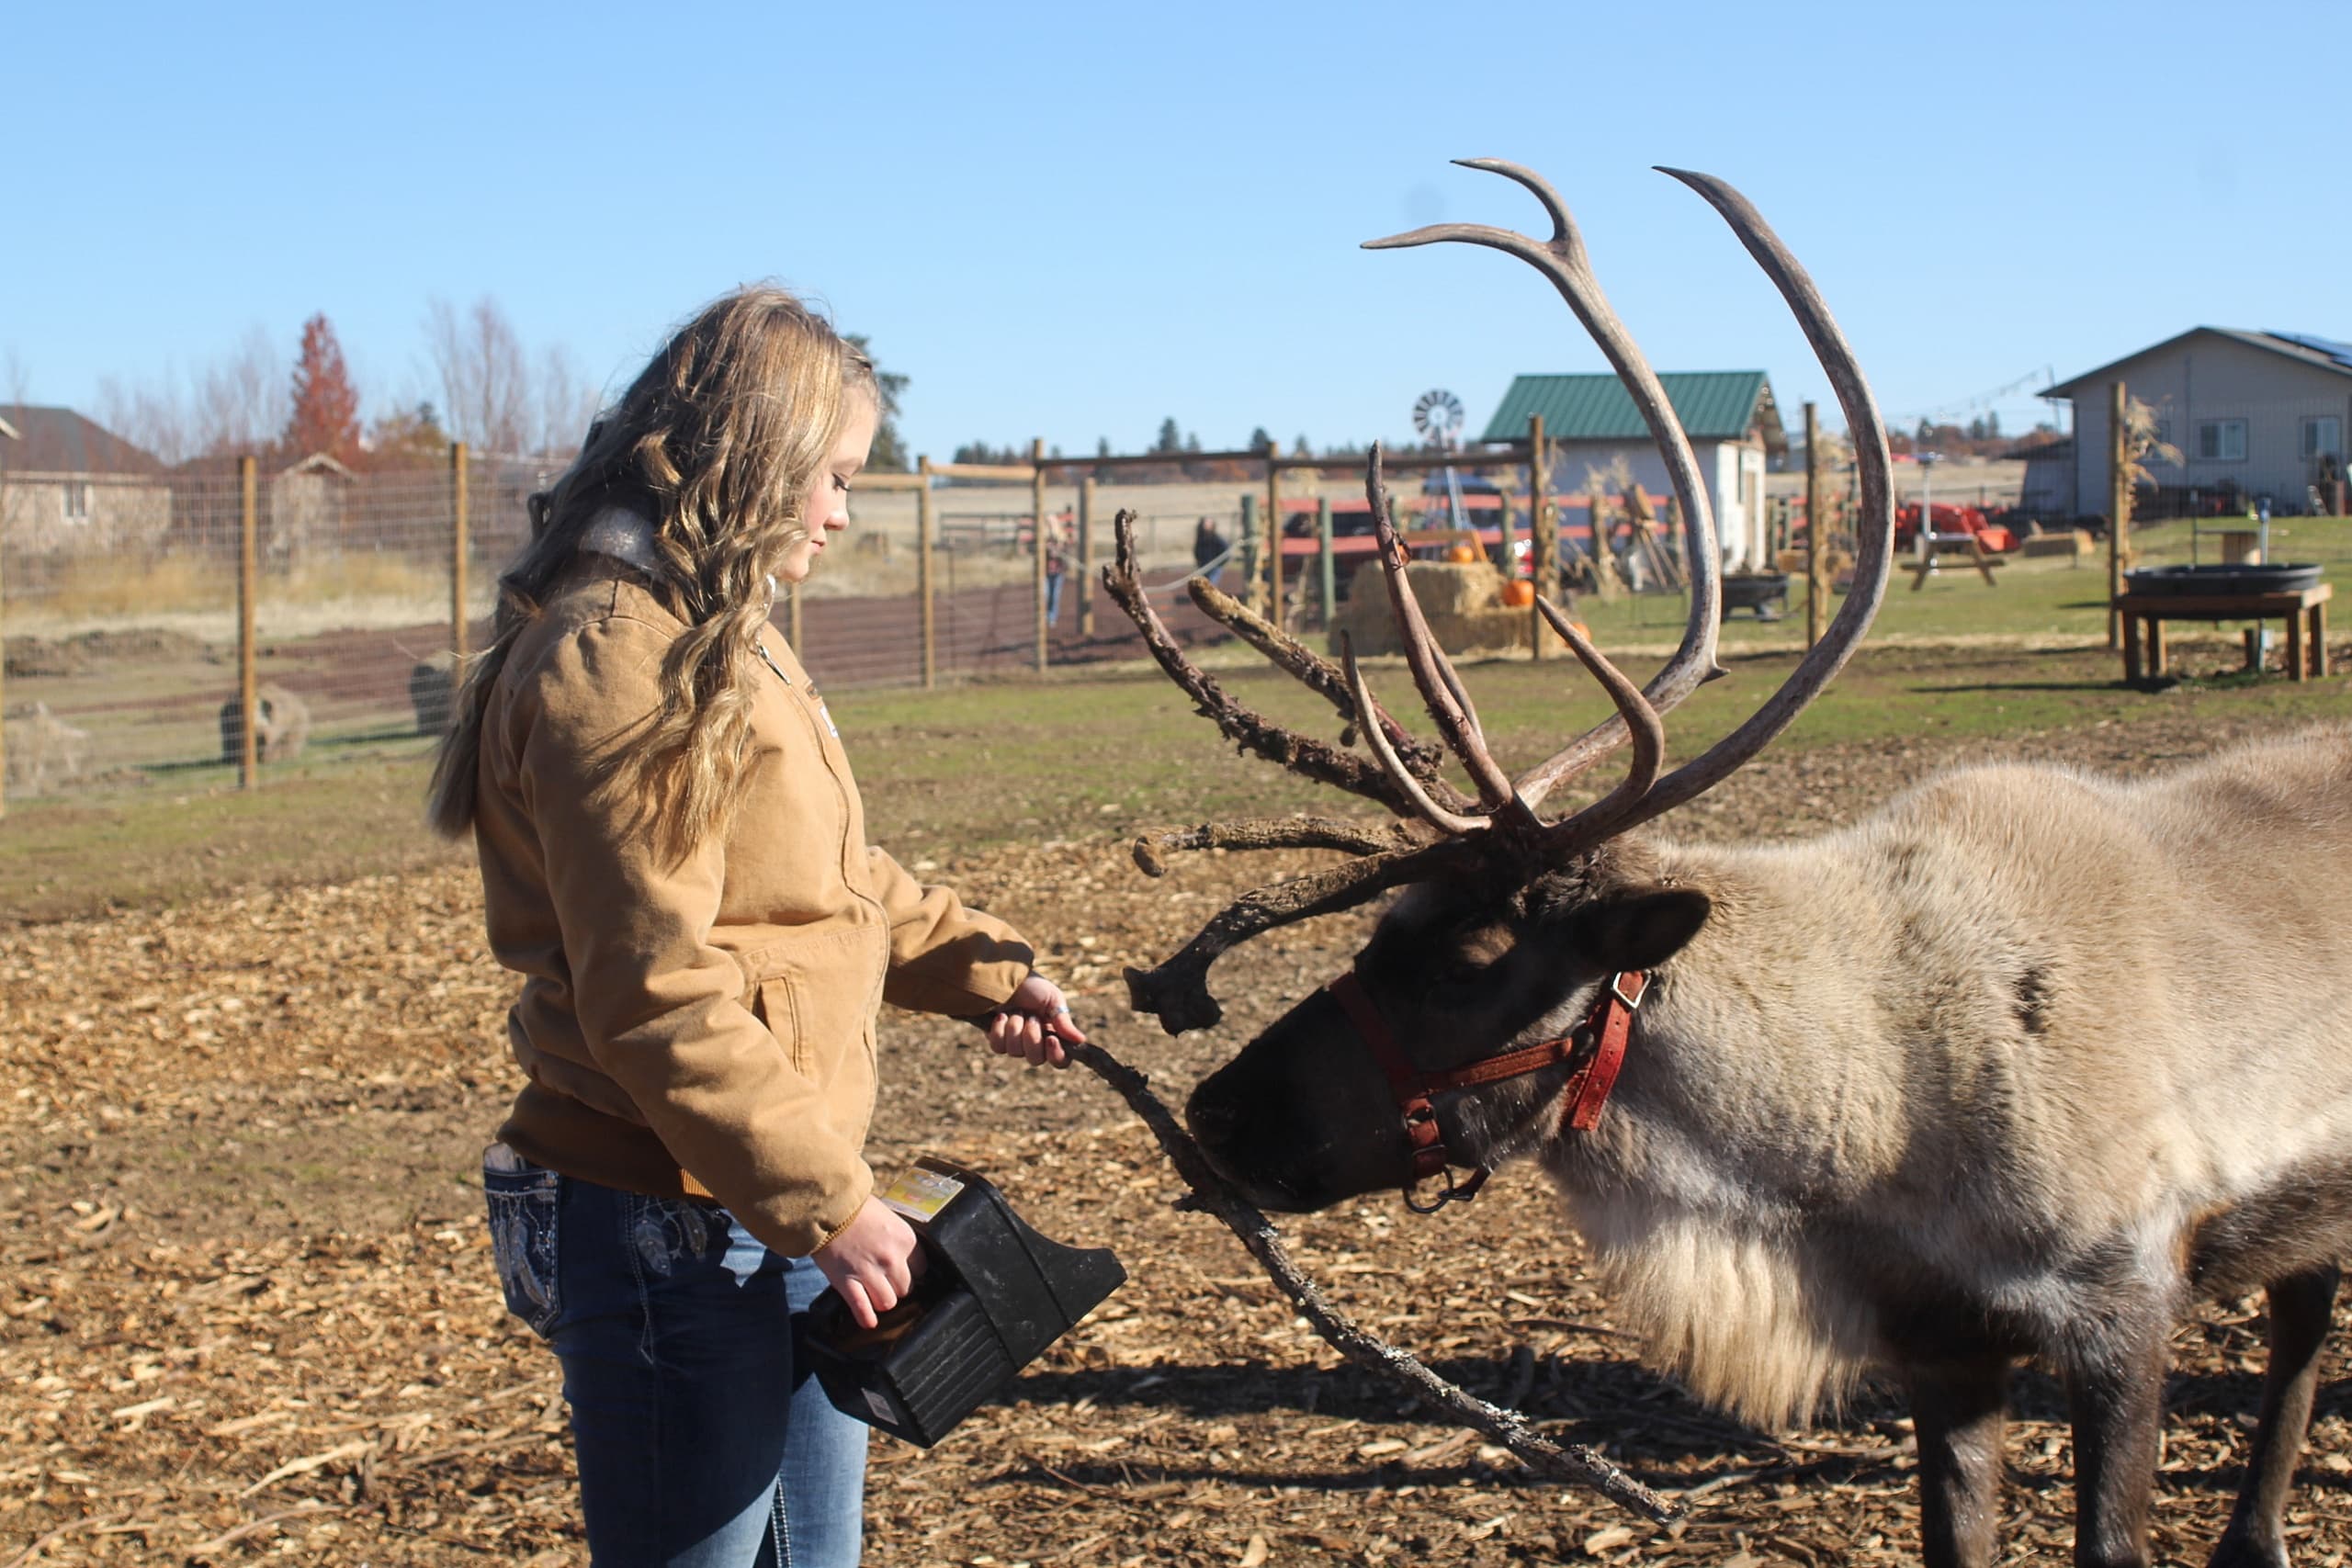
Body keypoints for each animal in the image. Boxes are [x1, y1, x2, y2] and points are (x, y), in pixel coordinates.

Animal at [1102, 160, 2352, 1568]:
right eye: (1384, 927)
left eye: (1469, 961)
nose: (1216, 1111)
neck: (1869, 1123)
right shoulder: (1941, 1343)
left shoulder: (2123, 1304)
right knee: (2308, 1313)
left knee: (2301, 1330)